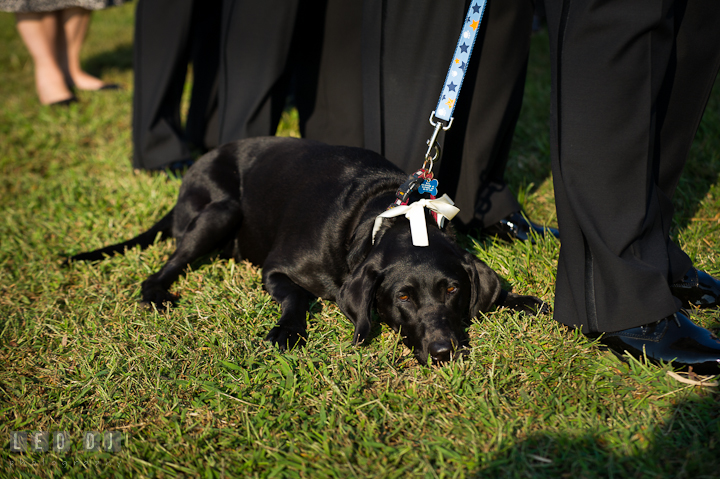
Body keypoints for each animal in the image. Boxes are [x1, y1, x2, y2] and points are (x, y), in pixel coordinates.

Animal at [69, 138, 552, 364]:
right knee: (161, 268)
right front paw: (287, 331)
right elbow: (299, 297)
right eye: (403, 297)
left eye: (453, 290)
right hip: (220, 210)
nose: (442, 352)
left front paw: (538, 305)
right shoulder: (277, 269)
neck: (388, 217)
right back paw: (156, 294)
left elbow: (507, 294)